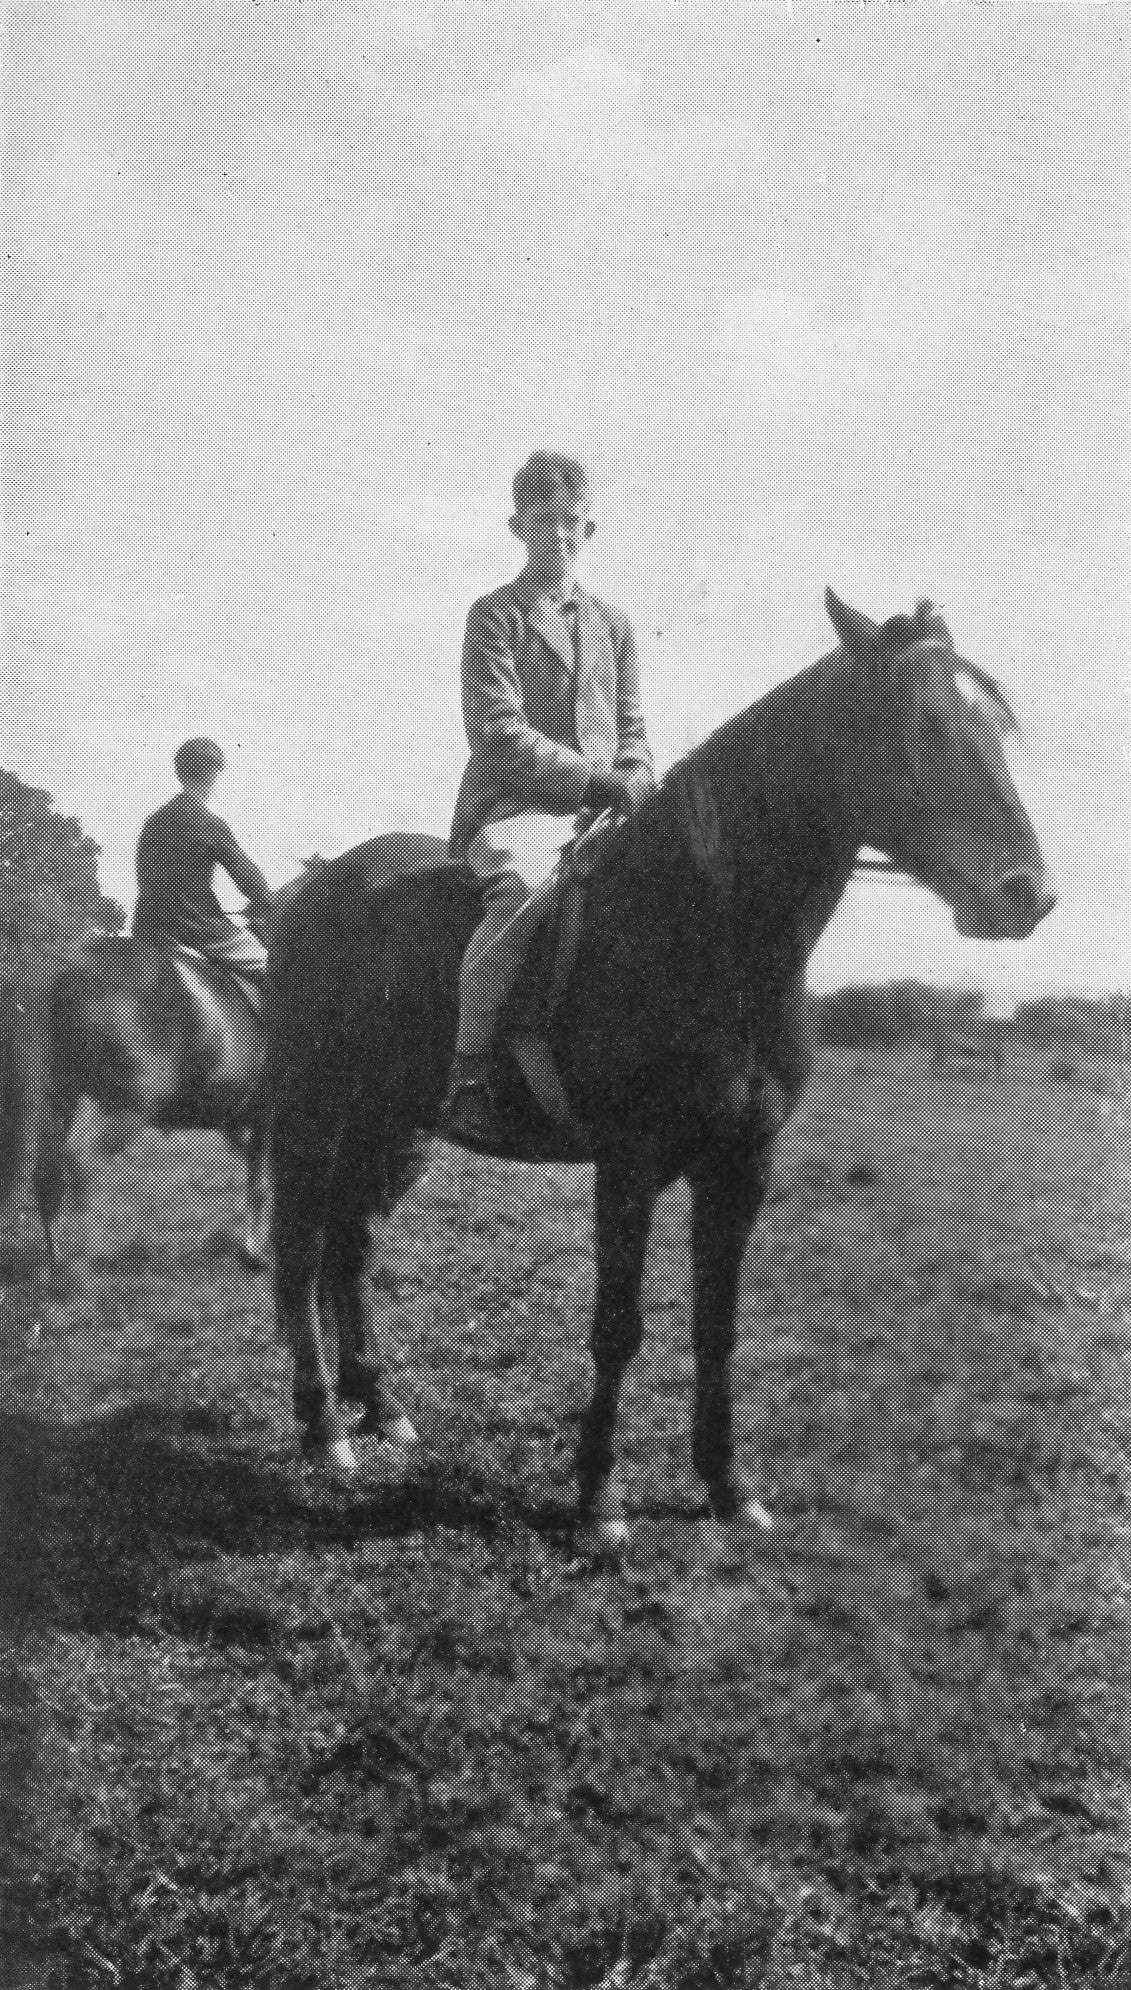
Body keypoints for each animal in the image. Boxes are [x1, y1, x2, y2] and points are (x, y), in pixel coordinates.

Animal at [267, 593, 1056, 1550]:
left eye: (995, 729)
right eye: (923, 726)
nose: (1028, 894)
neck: (701, 927)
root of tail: (317, 885)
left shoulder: (741, 1166)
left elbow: (717, 1328)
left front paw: (727, 1487)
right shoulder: (629, 1165)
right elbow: (617, 1328)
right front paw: (599, 1502)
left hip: (392, 1121)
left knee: (351, 1243)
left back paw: (379, 1406)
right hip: (313, 1109)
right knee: (302, 1248)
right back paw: (323, 1426)